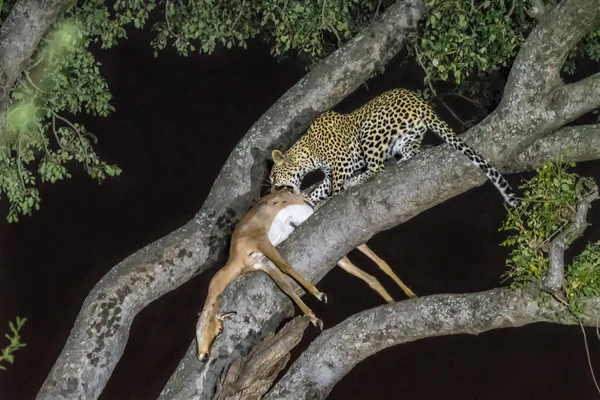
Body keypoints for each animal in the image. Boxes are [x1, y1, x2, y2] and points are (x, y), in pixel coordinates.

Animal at [270, 86, 516, 206]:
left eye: (272, 177)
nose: (271, 192)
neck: (308, 153)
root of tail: (420, 102)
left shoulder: (342, 163)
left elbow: (335, 186)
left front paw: (329, 197)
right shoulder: (330, 173)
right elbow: (320, 187)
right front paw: (309, 199)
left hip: (371, 129)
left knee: (377, 167)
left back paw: (355, 181)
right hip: (406, 138)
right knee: (408, 153)